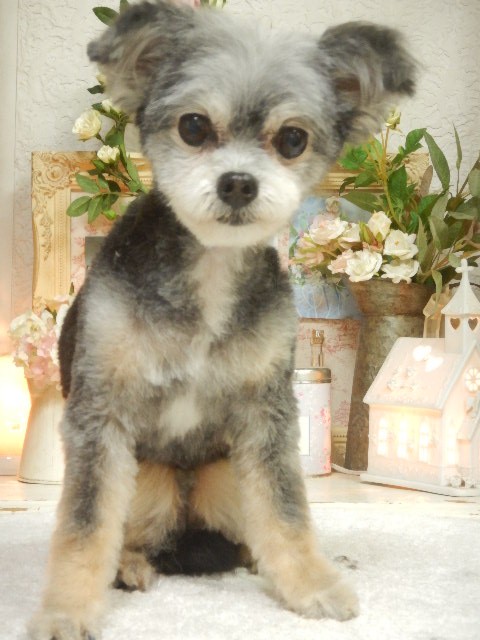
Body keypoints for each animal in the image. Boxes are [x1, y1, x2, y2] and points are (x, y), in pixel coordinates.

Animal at [29, 2, 415, 638]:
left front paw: (311, 584)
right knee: (127, 530)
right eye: (193, 127)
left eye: (292, 138)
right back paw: (129, 566)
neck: (209, 268)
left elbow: (286, 511)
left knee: (252, 526)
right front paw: (65, 610)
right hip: (143, 477)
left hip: (230, 470)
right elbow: (84, 525)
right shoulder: (100, 413)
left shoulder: (266, 415)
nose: (238, 182)